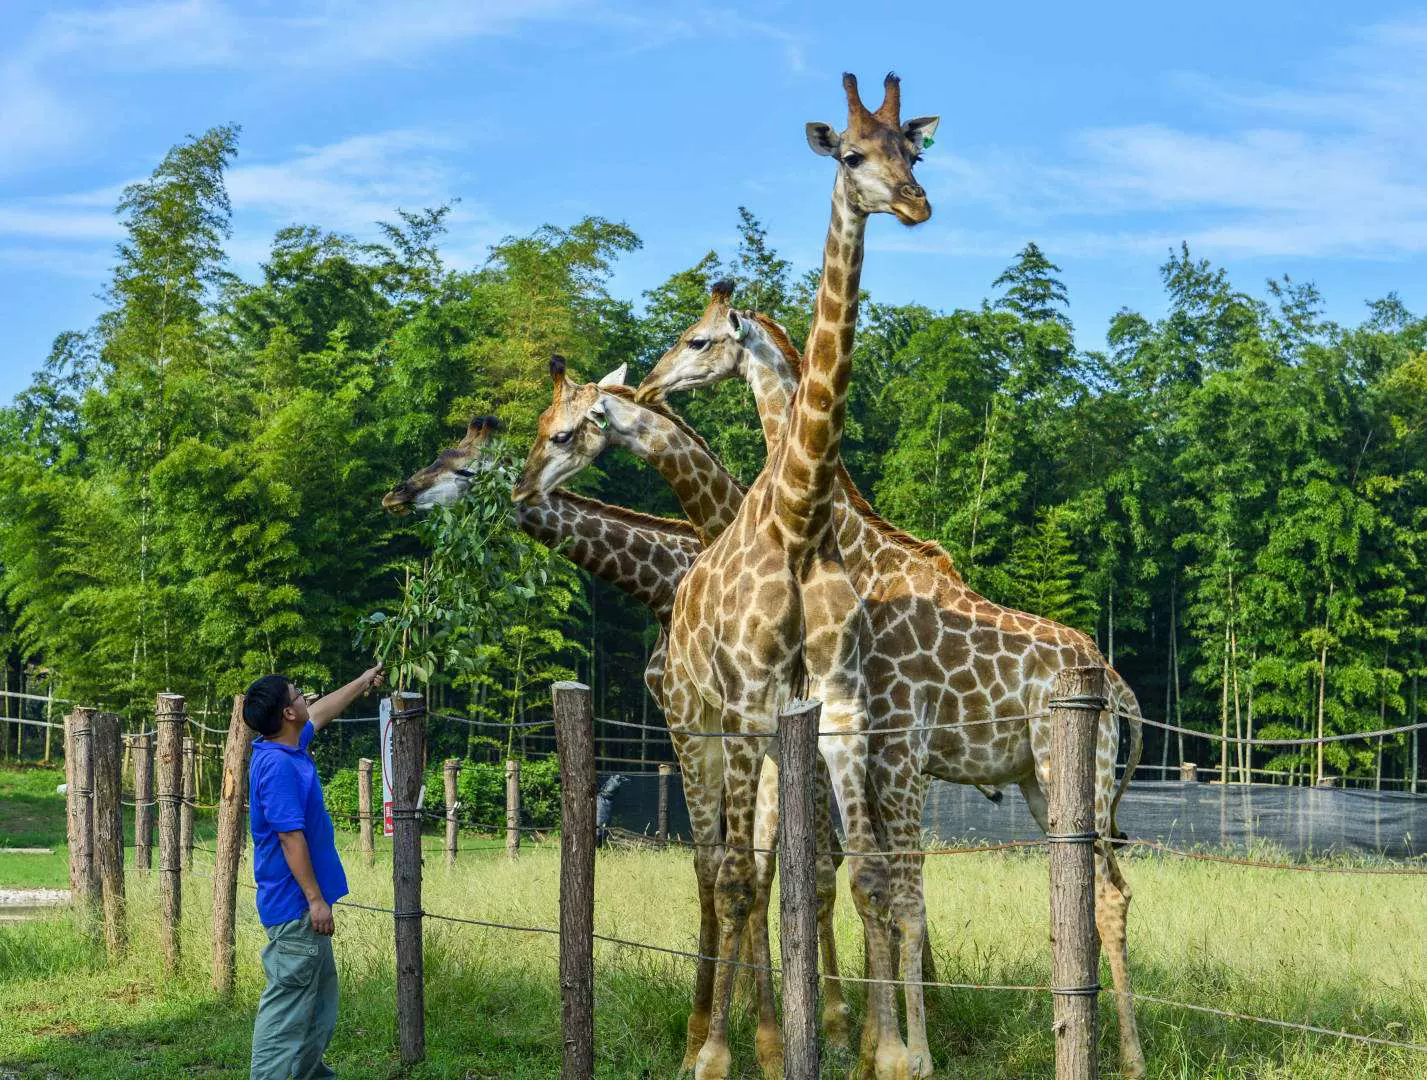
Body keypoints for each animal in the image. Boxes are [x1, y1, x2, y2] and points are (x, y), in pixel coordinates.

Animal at [636, 282, 1147, 1072]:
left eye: (698, 340)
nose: (649, 384)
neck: (857, 546)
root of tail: (1118, 690)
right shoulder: (870, 750)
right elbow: (869, 887)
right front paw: (879, 1045)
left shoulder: (896, 748)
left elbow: (896, 894)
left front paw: (907, 1053)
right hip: (1042, 783)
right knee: (1100, 891)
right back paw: (1106, 1044)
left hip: (1073, 772)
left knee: (1107, 892)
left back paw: (1126, 1055)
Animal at [653, 73, 941, 1078]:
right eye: (850, 155)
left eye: (912, 149)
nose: (916, 204)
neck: (799, 514)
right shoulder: (744, 703)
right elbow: (749, 876)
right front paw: (730, 1055)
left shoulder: (840, 707)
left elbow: (861, 874)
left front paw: (881, 1052)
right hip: (693, 724)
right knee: (716, 867)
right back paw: (707, 1035)